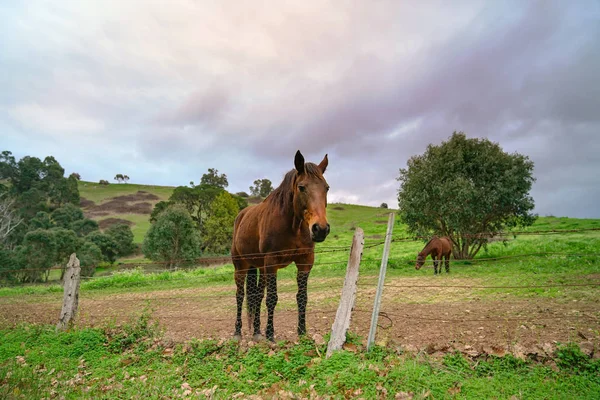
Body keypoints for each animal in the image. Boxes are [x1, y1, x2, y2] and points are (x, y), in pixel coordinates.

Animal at [232, 150, 330, 340]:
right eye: (301, 187)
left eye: (326, 188)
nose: (320, 229)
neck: (293, 226)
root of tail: (241, 216)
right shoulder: (272, 261)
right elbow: (272, 299)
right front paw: (270, 334)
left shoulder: (305, 261)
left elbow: (302, 297)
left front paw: (302, 332)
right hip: (241, 266)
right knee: (240, 295)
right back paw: (238, 332)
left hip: (260, 268)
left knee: (257, 295)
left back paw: (257, 332)